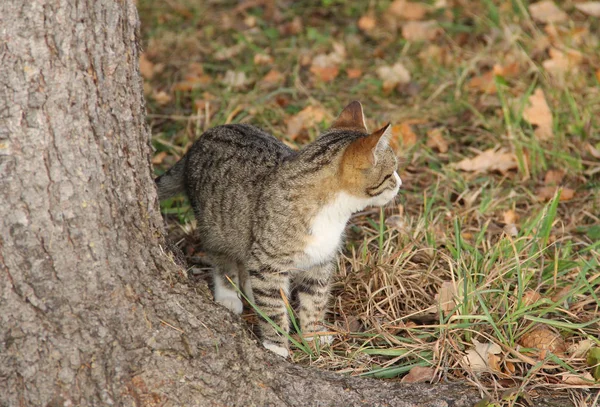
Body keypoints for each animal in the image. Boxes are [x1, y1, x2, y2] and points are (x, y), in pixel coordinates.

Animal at [157, 102, 404, 356]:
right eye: (390, 174)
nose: (400, 183)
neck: (332, 214)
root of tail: (202, 138)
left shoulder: (320, 259)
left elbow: (315, 299)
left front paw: (314, 334)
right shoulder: (267, 260)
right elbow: (273, 307)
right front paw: (275, 345)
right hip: (216, 225)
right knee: (222, 258)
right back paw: (228, 294)